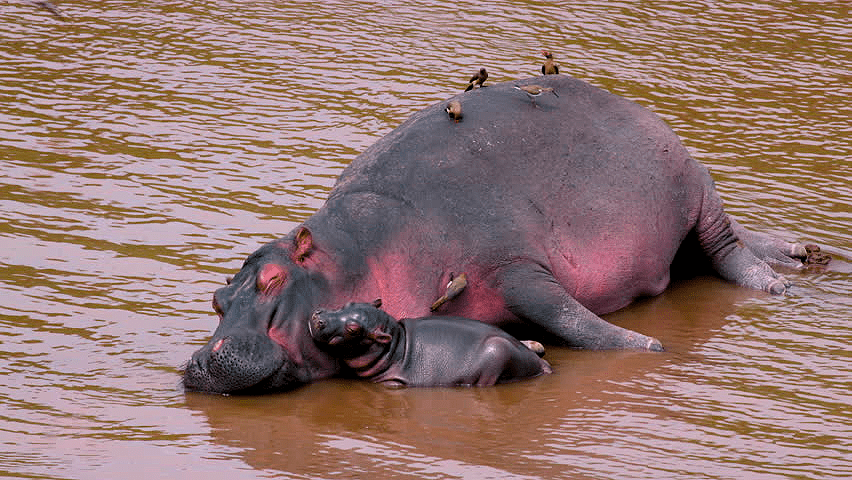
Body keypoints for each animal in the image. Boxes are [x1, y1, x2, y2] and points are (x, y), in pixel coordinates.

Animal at [308, 300, 552, 386]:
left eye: (353, 329)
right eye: (349, 303)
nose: (319, 317)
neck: (396, 344)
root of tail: (540, 364)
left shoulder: (394, 383)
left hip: (496, 352)